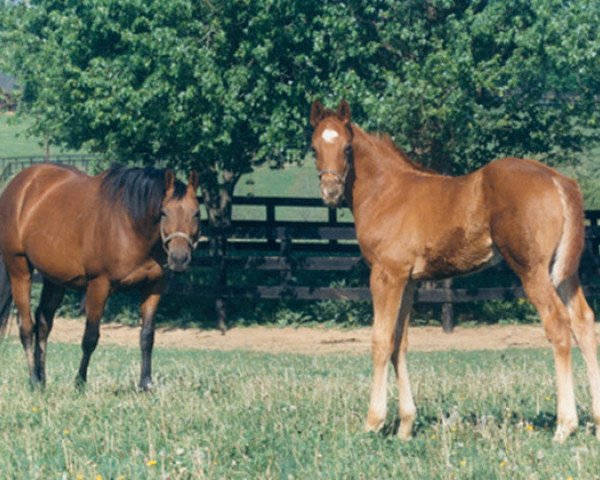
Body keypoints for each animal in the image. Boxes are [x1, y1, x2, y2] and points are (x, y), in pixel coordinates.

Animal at [0, 164, 202, 390]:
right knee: (26, 327)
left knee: (43, 323)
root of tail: (20, 182)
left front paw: (145, 384)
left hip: (55, 279)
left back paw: (42, 380)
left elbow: (147, 336)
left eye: (196, 213)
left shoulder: (153, 286)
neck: (129, 225)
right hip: (19, 269)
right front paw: (80, 383)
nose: (179, 258)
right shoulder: (99, 285)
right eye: (164, 212)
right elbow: (90, 337)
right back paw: (35, 381)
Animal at [310, 100, 600, 442]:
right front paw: (406, 426)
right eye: (314, 148)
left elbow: (381, 340)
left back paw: (564, 426)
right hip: (565, 272)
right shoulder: (409, 281)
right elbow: (399, 343)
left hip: (533, 270)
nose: (330, 191)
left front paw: (374, 422)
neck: (387, 192)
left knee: (558, 324)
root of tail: (558, 180)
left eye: (347, 147)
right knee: (584, 323)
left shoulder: (386, 275)